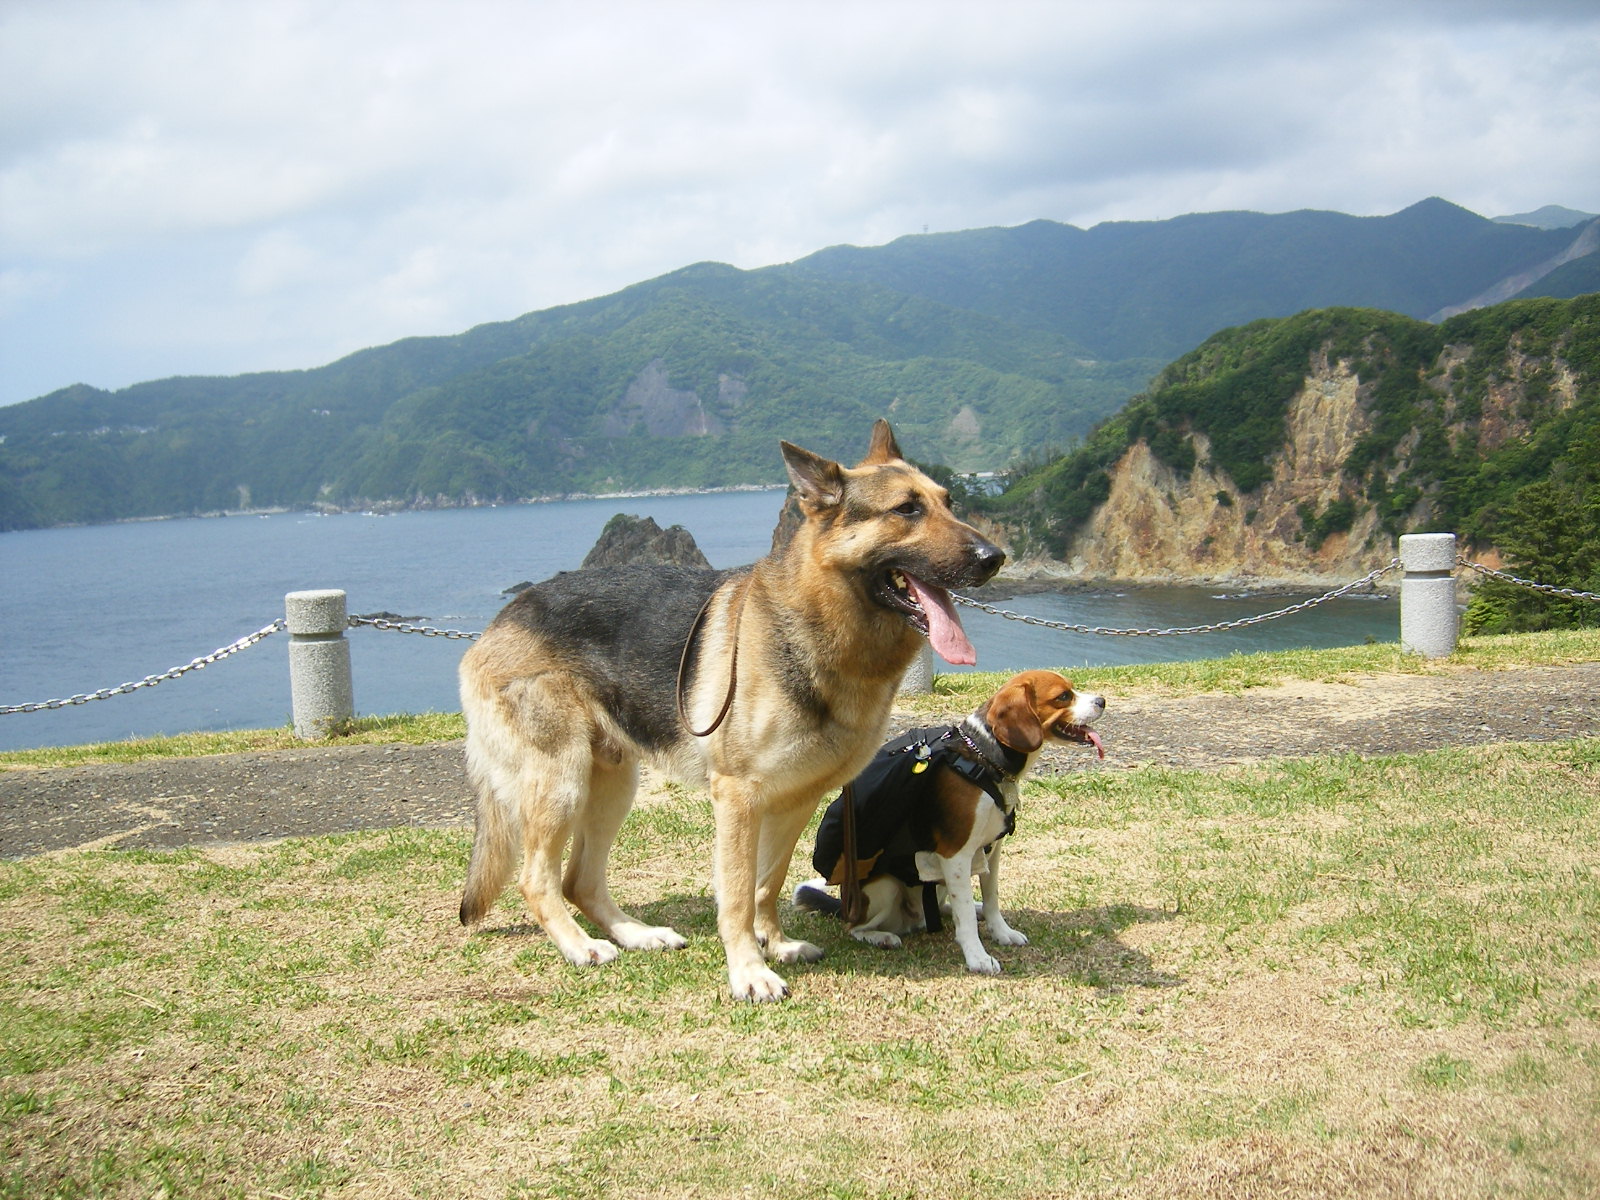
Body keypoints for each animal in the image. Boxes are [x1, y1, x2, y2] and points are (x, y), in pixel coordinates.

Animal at [457, 422, 998, 1004]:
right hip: (563, 782)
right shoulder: (738, 799)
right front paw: (748, 970)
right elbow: (737, 894)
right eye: (907, 509)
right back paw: (580, 945)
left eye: (950, 502)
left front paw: (776, 944)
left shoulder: (795, 801)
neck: (820, 627)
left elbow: (767, 884)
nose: (995, 557)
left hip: (613, 782)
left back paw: (637, 934)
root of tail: (498, 620)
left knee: (579, 878)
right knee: (537, 878)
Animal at [796, 668, 1107, 979]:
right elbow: (965, 914)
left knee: (948, 906)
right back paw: (881, 936)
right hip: (884, 888)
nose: (1102, 701)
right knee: (855, 928)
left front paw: (1001, 931)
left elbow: (991, 897)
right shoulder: (956, 854)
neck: (985, 758)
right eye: (1063, 696)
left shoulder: (992, 850)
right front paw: (977, 957)